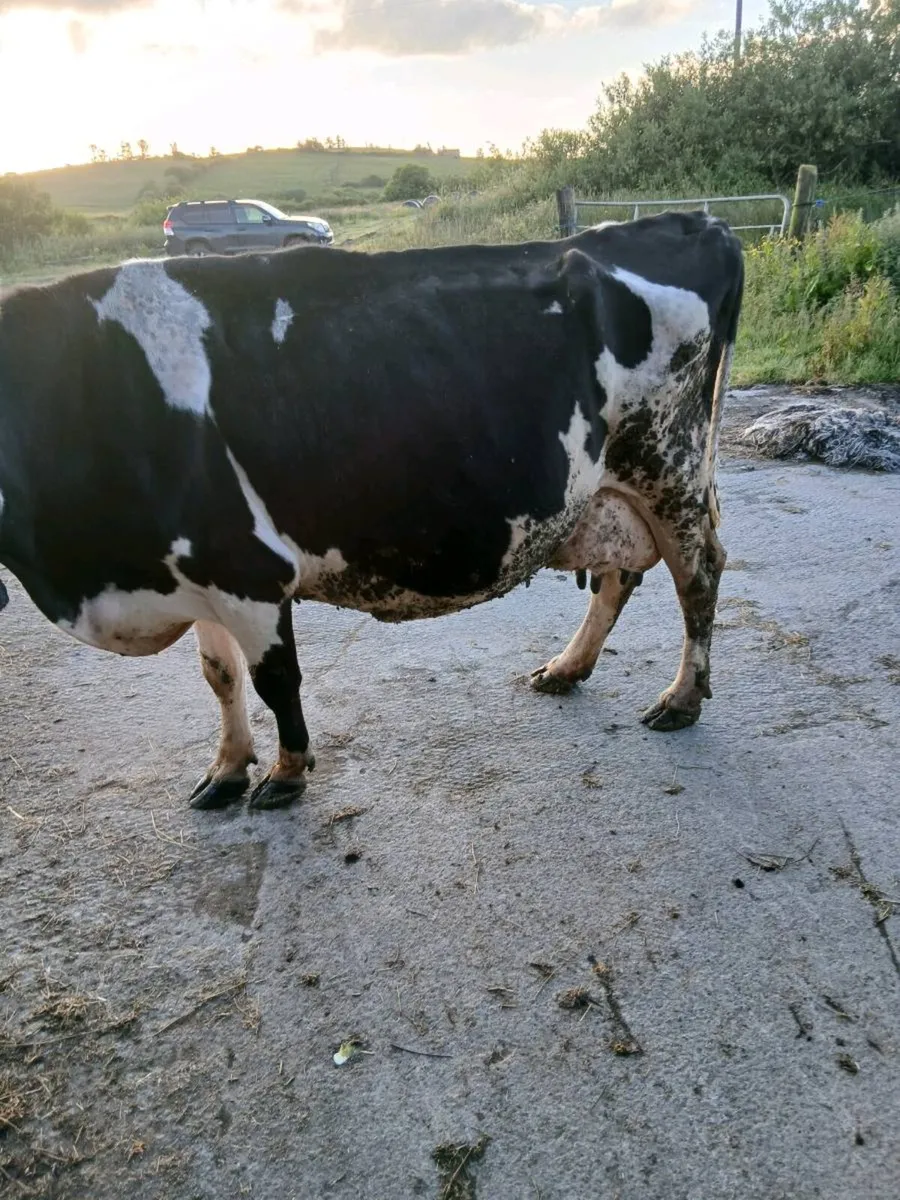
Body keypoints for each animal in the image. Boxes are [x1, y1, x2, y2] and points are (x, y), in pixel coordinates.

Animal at [0, 211, 743, 810]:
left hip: (669, 464)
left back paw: (681, 698)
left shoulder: (248, 570)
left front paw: (286, 772)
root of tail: (697, 221)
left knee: (699, 574)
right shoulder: (194, 570)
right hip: (609, 491)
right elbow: (219, 675)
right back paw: (567, 668)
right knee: (621, 573)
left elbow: (275, 680)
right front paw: (226, 770)